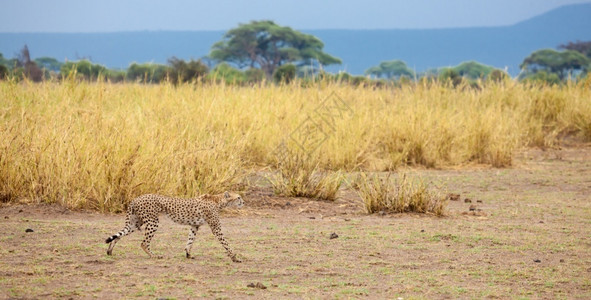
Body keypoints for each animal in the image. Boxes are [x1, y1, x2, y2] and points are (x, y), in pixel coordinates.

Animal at [105, 192, 244, 262]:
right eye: (238, 197)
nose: (243, 202)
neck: (219, 200)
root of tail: (137, 198)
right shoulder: (216, 228)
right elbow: (225, 243)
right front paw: (234, 257)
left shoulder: (194, 225)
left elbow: (190, 240)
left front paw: (188, 254)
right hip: (153, 222)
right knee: (143, 243)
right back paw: (154, 256)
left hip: (135, 223)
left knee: (119, 235)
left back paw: (109, 251)